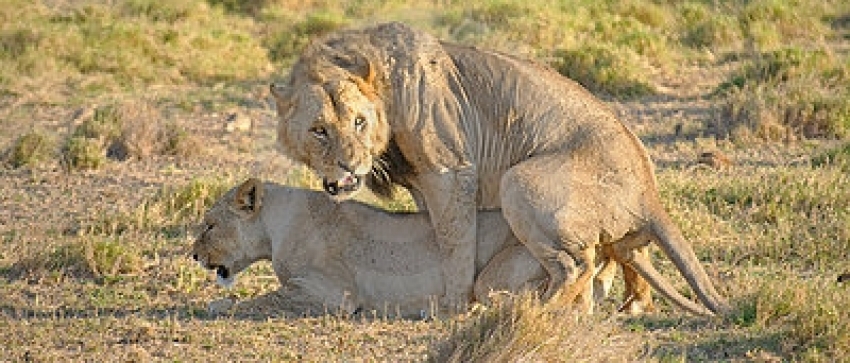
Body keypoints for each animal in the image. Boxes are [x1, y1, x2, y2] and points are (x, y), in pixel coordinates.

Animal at [274, 22, 728, 316]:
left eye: (358, 122)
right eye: (319, 130)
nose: (349, 165)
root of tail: (649, 191)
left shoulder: (450, 170)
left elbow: (455, 242)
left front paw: (454, 305)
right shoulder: (423, 184)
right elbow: (433, 235)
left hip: (518, 181)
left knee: (575, 265)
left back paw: (533, 311)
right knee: (624, 254)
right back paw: (632, 304)